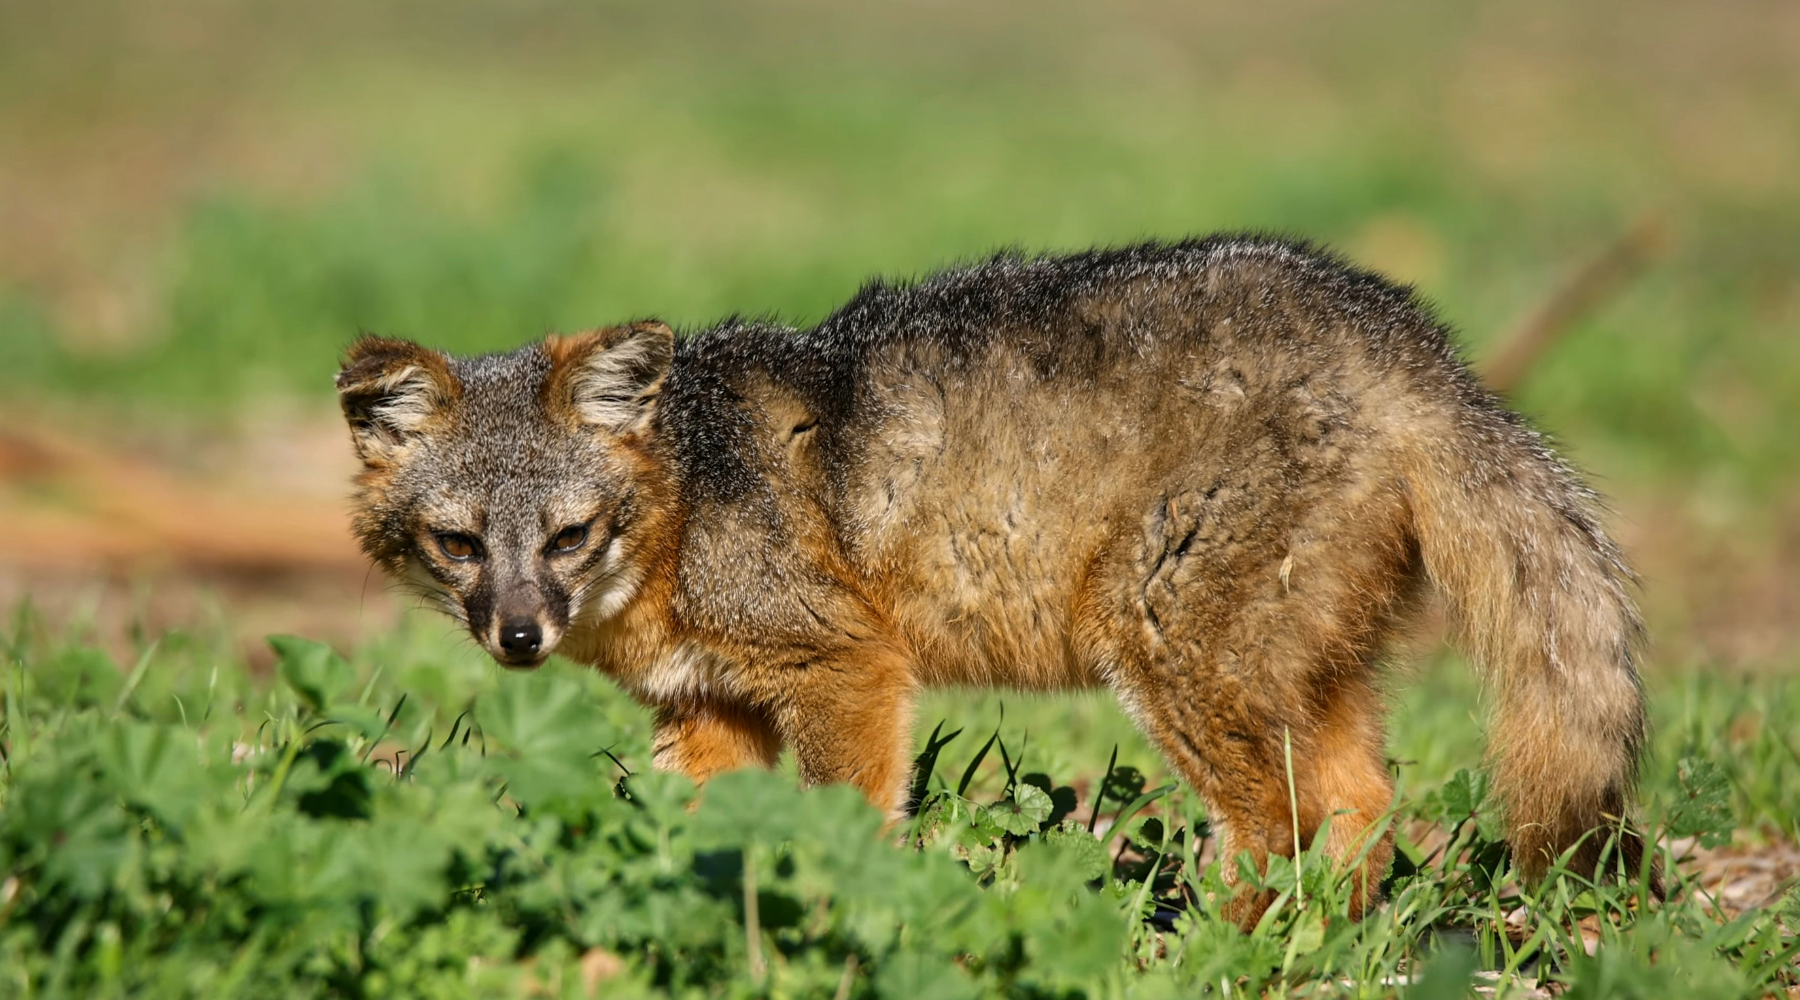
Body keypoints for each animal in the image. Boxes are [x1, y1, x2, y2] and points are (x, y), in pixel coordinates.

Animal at [338, 233, 1656, 920]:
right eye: (461, 544)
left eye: (568, 537)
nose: (517, 636)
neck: (685, 495)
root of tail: (1417, 345)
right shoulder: (709, 710)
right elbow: (700, 835)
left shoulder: (848, 667)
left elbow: (848, 821)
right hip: (1293, 676)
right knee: (1364, 810)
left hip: (1170, 655)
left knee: (1279, 824)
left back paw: (1193, 954)